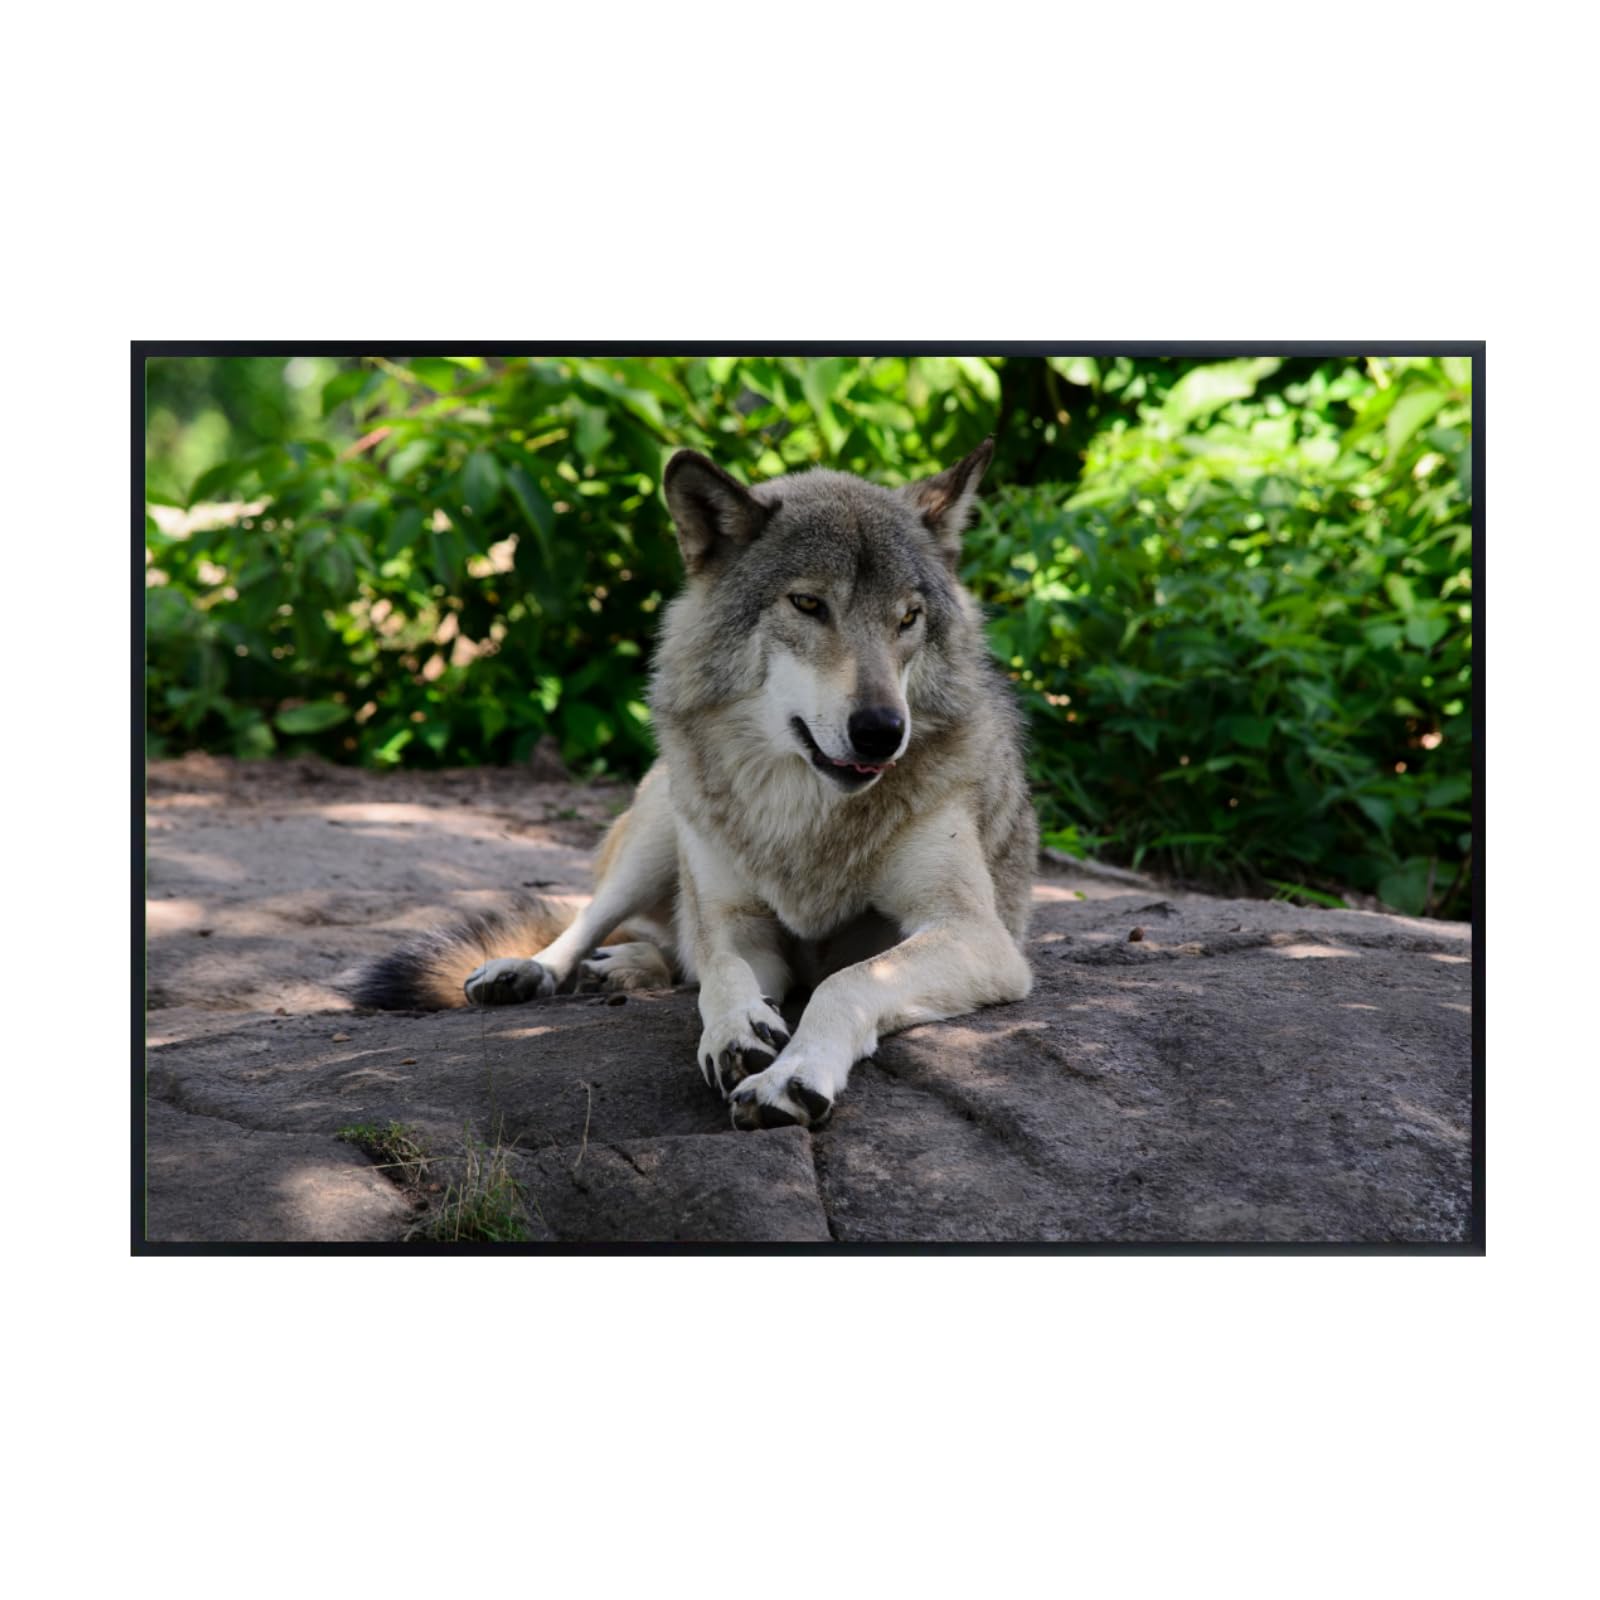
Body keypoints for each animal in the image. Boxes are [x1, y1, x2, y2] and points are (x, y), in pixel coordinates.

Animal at [352, 439, 1037, 1129]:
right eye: (808, 604)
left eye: (909, 618)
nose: (882, 731)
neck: (805, 814)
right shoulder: (738, 924)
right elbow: (722, 969)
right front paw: (735, 1030)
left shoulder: (977, 933)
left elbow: (848, 979)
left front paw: (790, 1077)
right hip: (663, 827)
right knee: (598, 922)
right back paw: (539, 970)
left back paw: (625, 968)